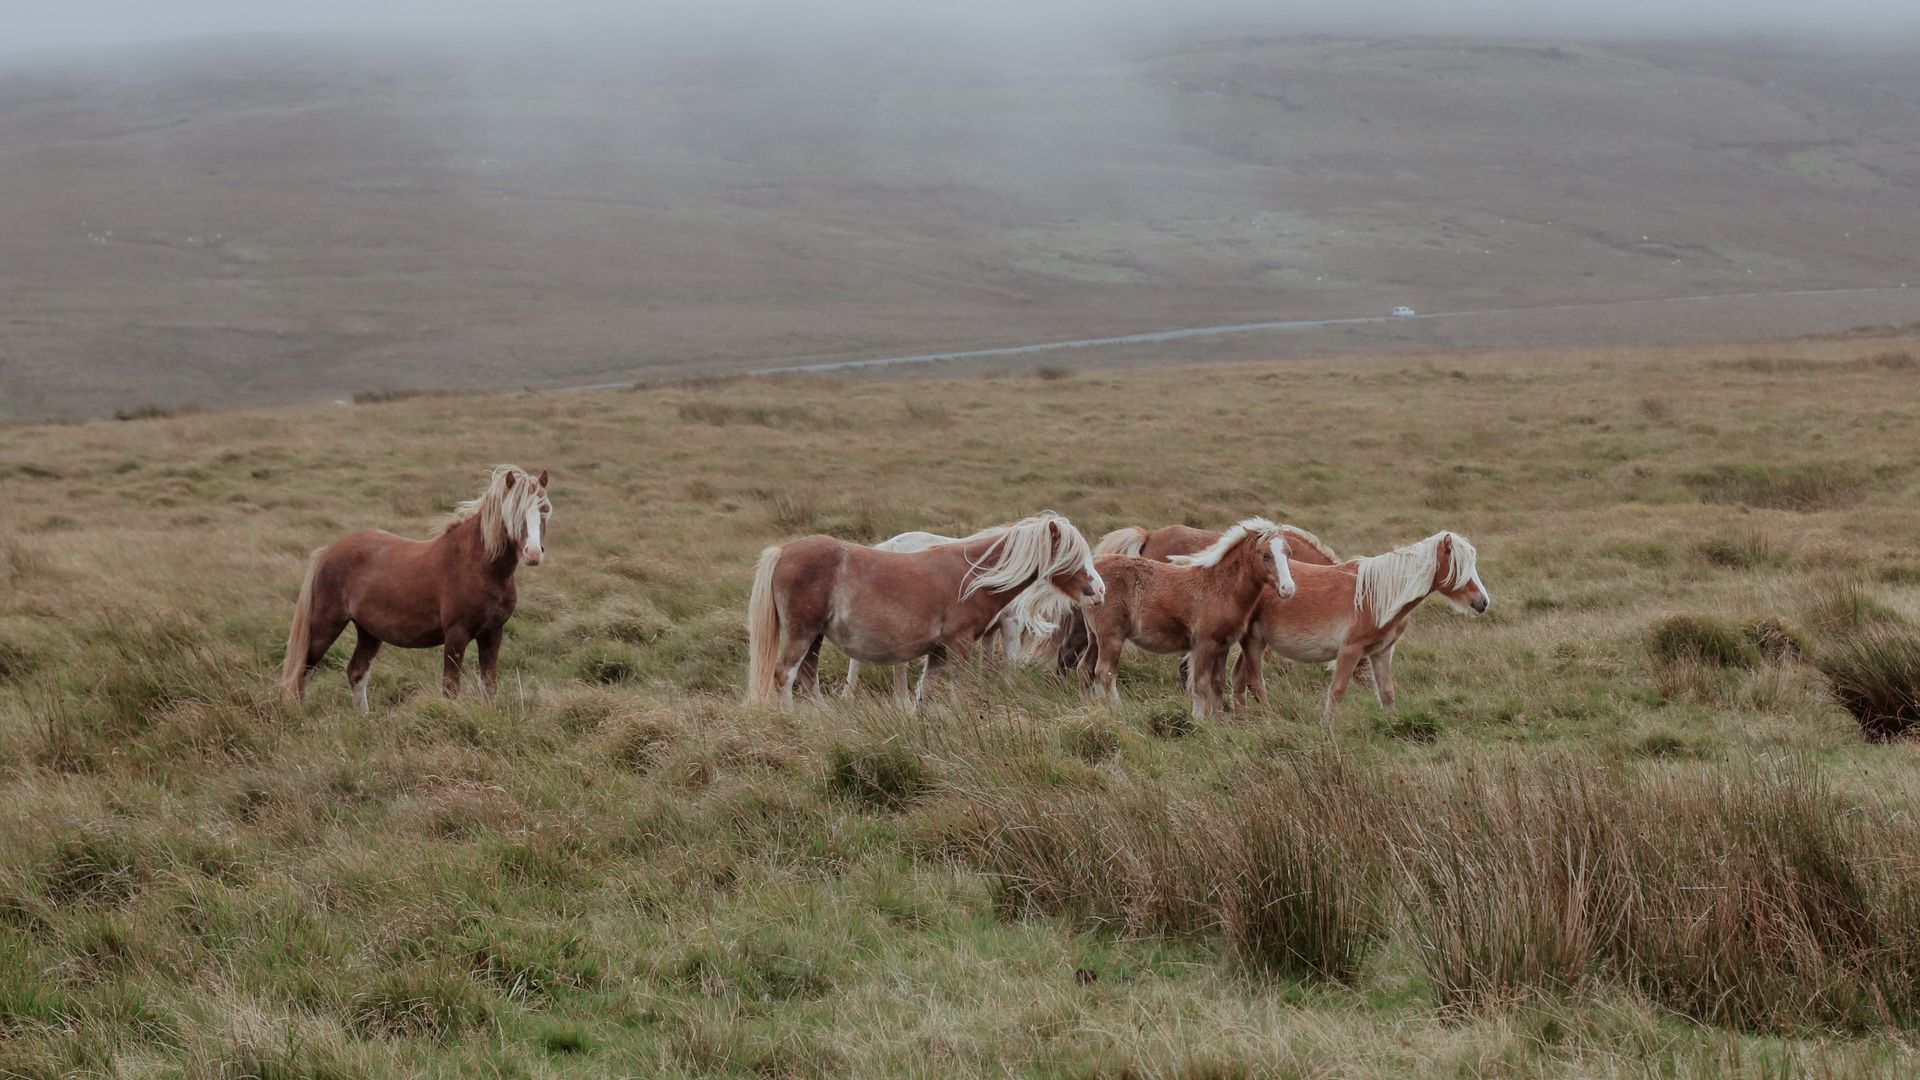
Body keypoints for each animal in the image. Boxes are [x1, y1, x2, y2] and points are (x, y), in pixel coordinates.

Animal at [281, 465, 551, 710]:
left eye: (544, 511)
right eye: (514, 512)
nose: (533, 553)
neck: (478, 566)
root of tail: (327, 551)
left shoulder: (493, 633)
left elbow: (490, 685)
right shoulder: (456, 635)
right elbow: (451, 688)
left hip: (368, 631)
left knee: (356, 672)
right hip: (325, 626)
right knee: (303, 672)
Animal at [1081, 517, 1295, 719]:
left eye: (1288, 553)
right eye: (1265, 554)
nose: (1288, 589)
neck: (1220, 587)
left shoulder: (1223, 645)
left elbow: (1217, 683)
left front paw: (1218, 720)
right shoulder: (1204, 644)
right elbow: (1201, 684)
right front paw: (1199, 720)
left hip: (1095, 637)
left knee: (1087, 668)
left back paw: (1093, 707)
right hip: (1111, 637)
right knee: (1105, 672)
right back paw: (1117, 710)